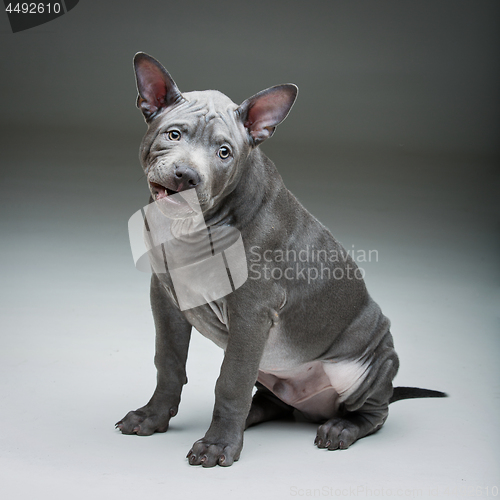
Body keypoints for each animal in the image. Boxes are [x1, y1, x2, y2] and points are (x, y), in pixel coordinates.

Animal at [117, 52, 446, 466]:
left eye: (224, 152)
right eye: (173, 135)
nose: (186, 176)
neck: (192, 228)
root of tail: (313, 407)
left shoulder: (251, 313)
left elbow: (230, 382)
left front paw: (218, 445)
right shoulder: (166, 298)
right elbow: (169, 362)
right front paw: (153, 416)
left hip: (364, 364)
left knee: (374, 412)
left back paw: (341, 428)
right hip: (270, 363)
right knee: (272, 401)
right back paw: (254, 416)